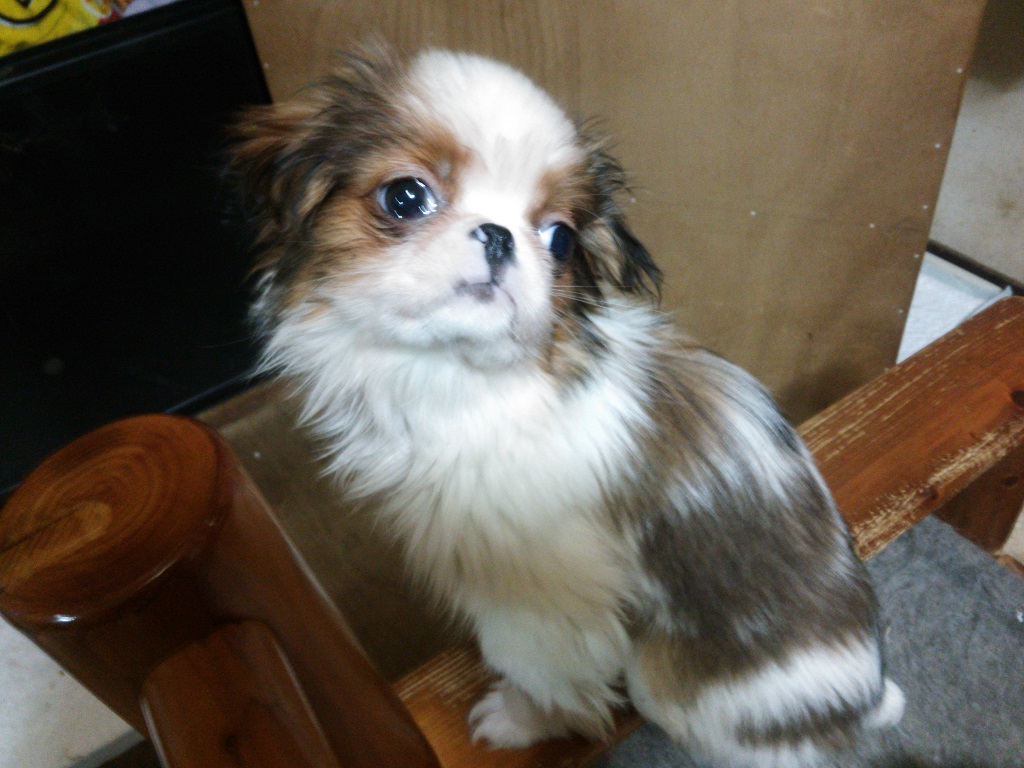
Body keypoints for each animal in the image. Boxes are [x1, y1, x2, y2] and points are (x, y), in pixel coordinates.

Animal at [231, 46, 903, 767]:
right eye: (405, 196)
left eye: (558, 239)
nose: (499, 236)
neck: (460, 377)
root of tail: (860, 700)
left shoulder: (543, 606)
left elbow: (541, 673)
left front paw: (519, 722)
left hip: (669, 685)